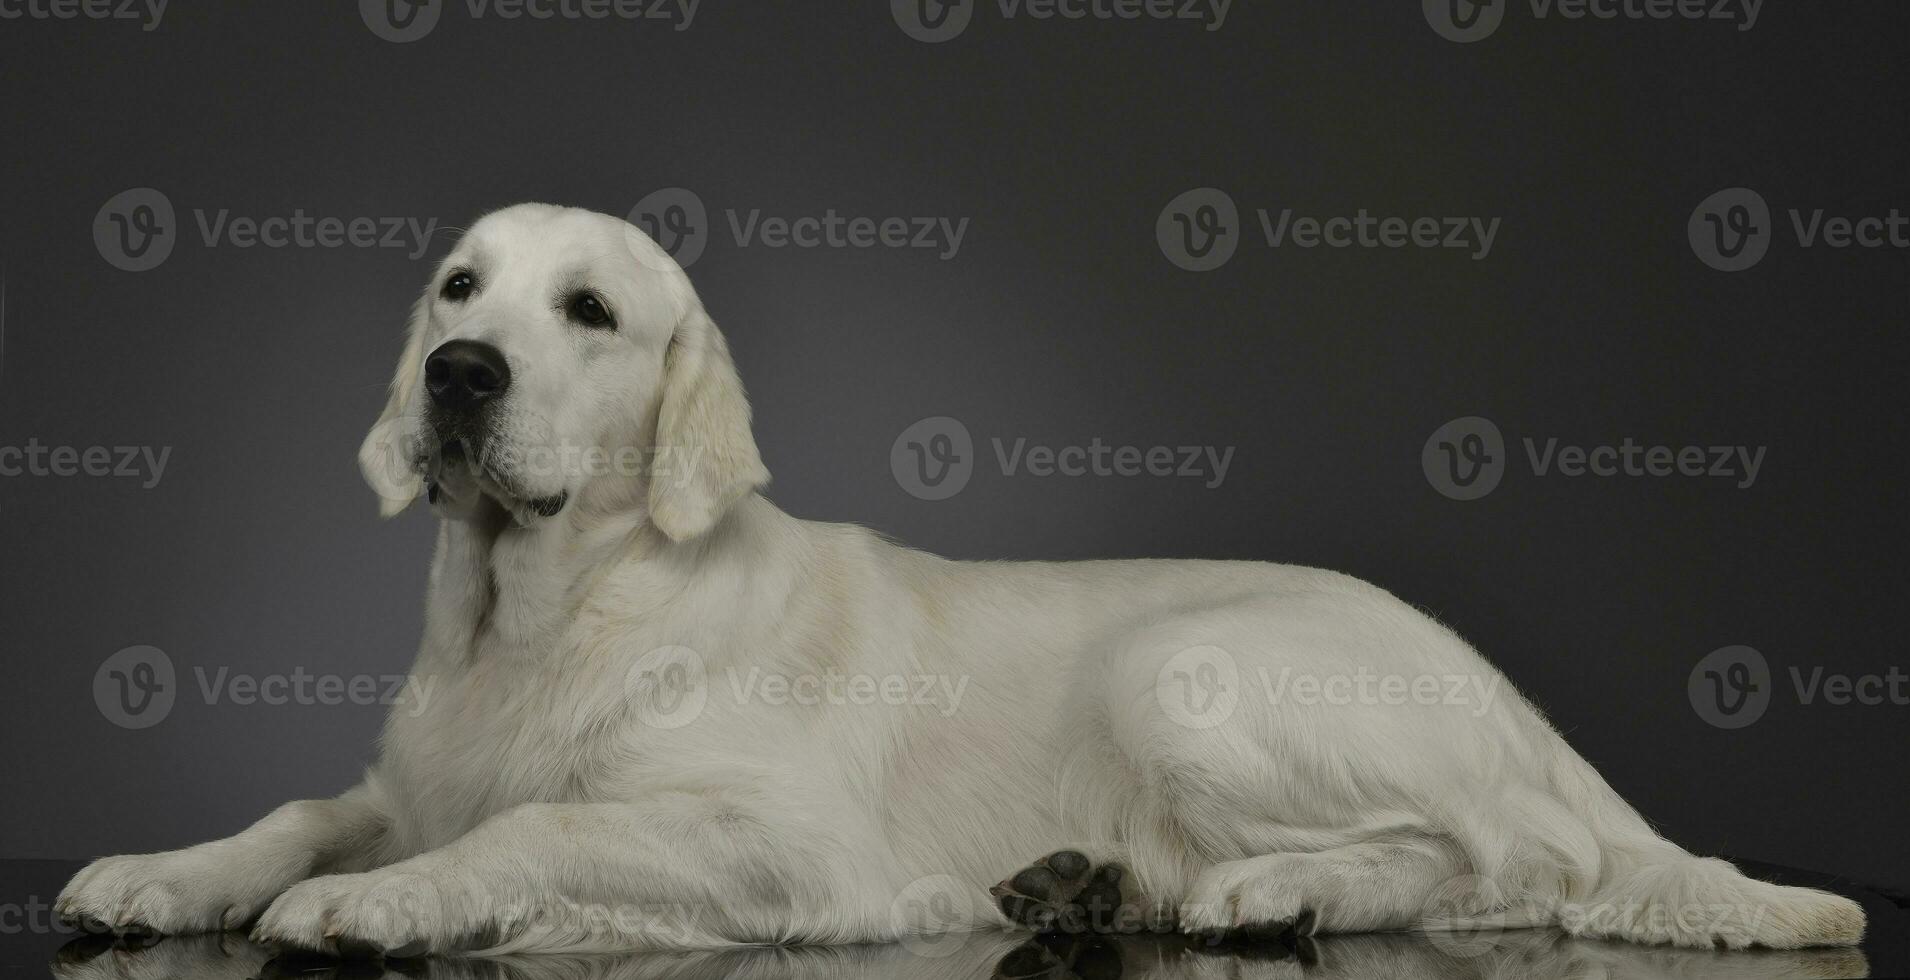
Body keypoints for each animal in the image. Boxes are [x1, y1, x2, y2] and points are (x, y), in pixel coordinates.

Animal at [55, 200, 1864, 955]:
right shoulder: (408, 773)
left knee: (1514, 861)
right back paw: (1094, 887)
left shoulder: (782, 839)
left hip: (1183, 672)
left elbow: (533, 828)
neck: (537, 610)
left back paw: (1263, 894)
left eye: (588, 312)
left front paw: (377, 905)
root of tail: (1505, 687)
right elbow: (308, 809)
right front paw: (164, 871)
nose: (459, 375)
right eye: (456, 288)